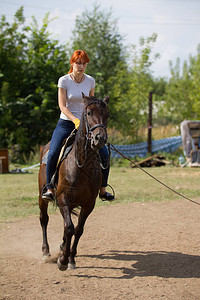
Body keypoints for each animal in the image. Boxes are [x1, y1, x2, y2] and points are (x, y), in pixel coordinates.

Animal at [38, 93, 109, 270]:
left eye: (108, 115)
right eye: (89, 113)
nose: (100, 138)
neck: (82, 166)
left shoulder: (89, 204)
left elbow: (78, 229)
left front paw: (70, 258)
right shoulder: (63, 197)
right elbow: (69, 228)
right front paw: (63, 260)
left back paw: (63, 247)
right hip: (42, 196)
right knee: (44, 219)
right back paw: (46, 252)